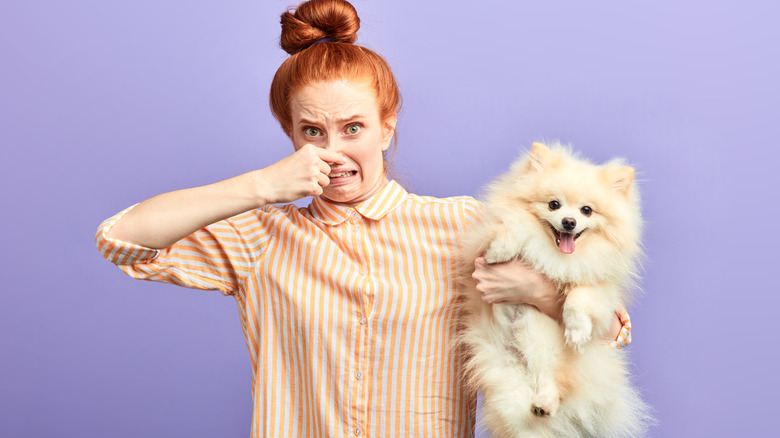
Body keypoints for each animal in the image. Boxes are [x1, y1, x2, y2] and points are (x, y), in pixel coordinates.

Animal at [458, 142, 652, 436]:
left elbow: (578, 296)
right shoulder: (478, 246)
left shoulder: (600, 284)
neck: (555, 256)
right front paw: (502, 249)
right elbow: (515, 228)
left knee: (552, 382)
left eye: (587, 210)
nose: (569, 222)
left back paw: (545, 402)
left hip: (541, 342)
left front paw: (577, 331)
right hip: (508, 383)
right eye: (554, 204)